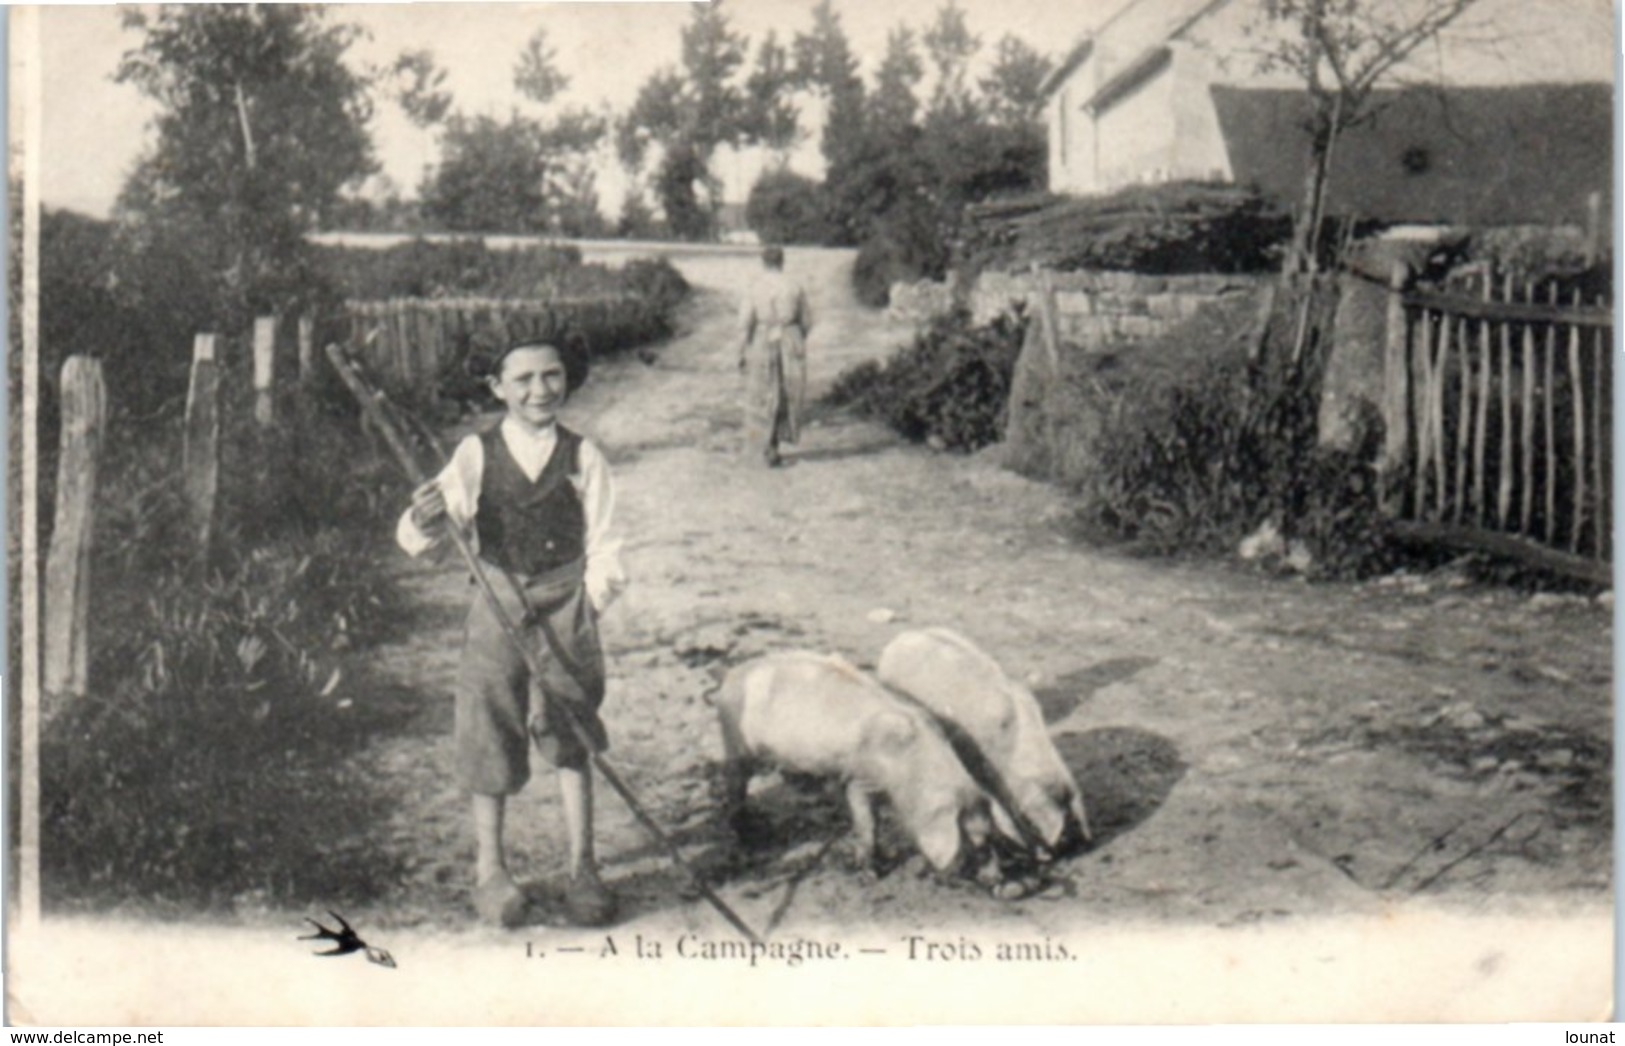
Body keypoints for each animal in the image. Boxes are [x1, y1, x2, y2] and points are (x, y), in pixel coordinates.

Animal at [718, 652, 994, 877]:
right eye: (973, 842)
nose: (994, 881)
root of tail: (730, 676)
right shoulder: (860, 778)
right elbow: (867, 822)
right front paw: (871, 872)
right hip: (734, 742)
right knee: (734, 786)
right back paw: (745, 835)